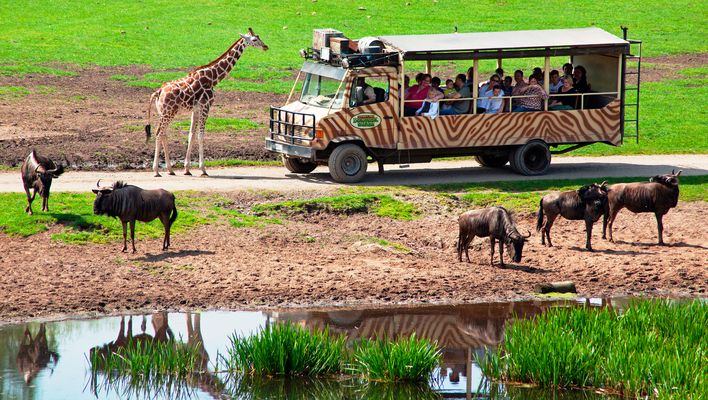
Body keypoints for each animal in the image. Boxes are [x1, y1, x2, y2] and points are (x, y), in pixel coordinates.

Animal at [144, 27, 268, 177]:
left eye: (259, 37)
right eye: (254, 40)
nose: (265, 47)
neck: (213, 78)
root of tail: (159, 91)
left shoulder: (196, 109)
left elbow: (191, 134)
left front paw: (187, 169)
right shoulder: (206, 106)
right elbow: (200, 135)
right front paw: (203, 169)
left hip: (164, 112)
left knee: (163, 134)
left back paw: (170, 169)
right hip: (169, 112)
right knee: (159, 133)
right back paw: (156, 170)